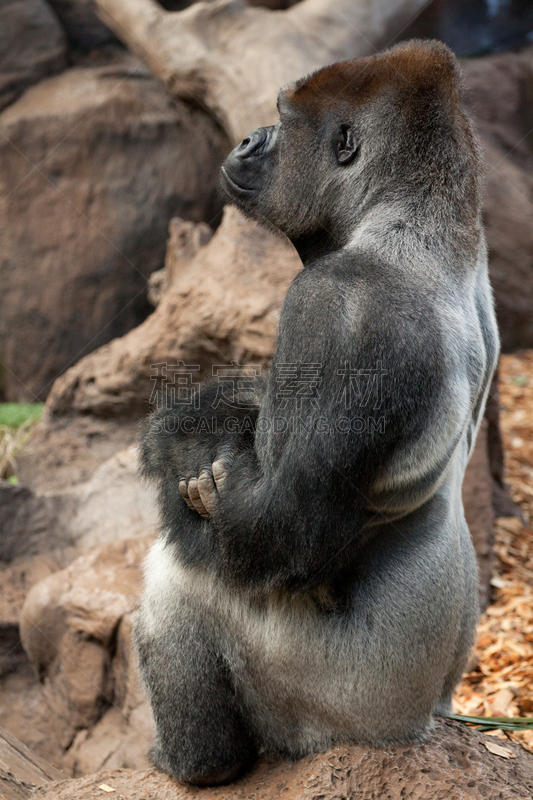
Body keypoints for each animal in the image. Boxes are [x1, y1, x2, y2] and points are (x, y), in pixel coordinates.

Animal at [134, 40, 498, 784]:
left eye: (281, 121)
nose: (248, 138)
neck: (414, 220)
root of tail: (417, 724)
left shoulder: (340, 305)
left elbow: (285, 530)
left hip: (335, 715)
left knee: (179, 578)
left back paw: (198, 760)